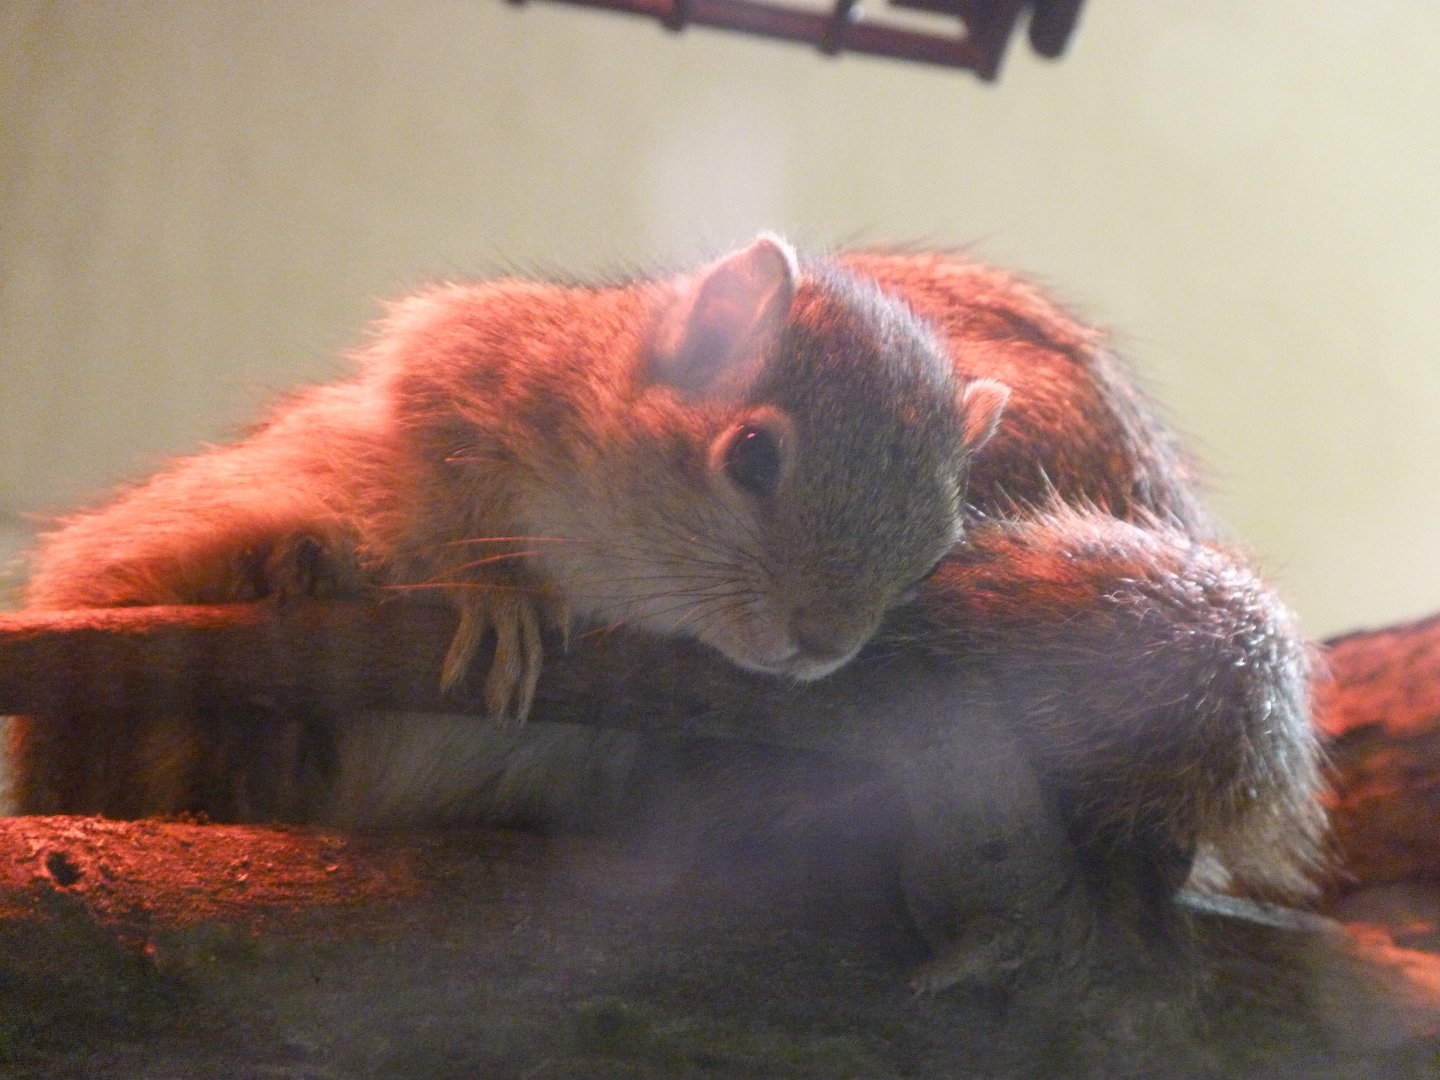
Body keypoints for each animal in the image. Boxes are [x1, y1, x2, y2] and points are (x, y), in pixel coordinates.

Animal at [7, 238, 1325, 1003]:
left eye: (944, 535)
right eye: (750, 456)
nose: (824, 639)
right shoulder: (475, 358)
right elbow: (436, 432)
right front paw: (500, 592)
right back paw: (282, 595)